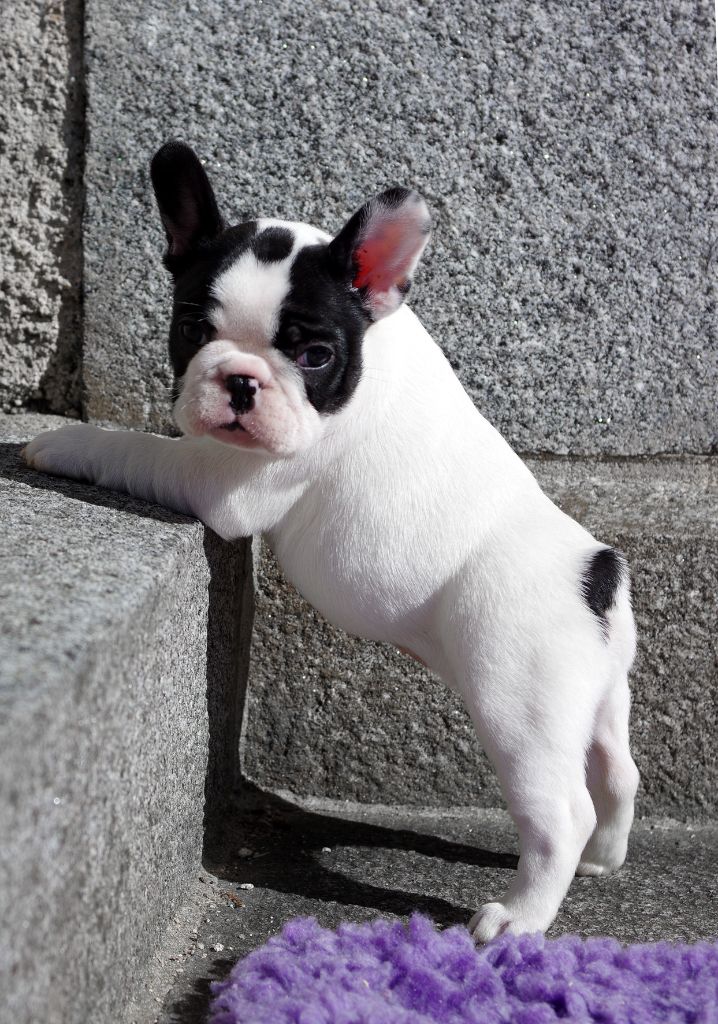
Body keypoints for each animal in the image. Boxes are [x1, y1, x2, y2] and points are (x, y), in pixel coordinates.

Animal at [24, 140, 639, 940]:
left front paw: (61, 440)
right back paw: (605, 859)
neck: (372, 344)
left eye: (313, 356)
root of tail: (599, 573)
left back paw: (519, 919)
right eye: (192, 330)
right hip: (594, 695)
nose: (239, 382)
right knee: (618, 769)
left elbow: (137, 449)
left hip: (519, 704)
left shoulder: (227, 481)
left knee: (561, 812)